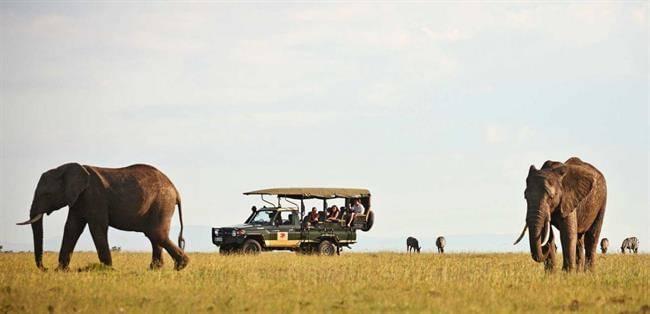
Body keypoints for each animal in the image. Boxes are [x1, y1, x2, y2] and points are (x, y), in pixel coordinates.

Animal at [16, 163, 187, 272]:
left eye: (47, 194)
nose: (45, 268)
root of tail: (176, 190)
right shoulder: (78, 200)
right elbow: (72, 228)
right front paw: (61, 271)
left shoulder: (93, 196)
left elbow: (97, 227)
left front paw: (108, 270)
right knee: (154, 236)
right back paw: (155, 269)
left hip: (162, 202)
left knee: (156, 234)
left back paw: (180, 266)